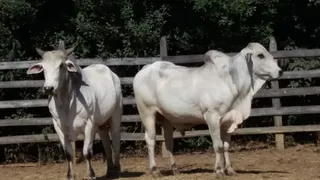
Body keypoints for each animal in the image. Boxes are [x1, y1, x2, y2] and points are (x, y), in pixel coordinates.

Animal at [26, 43, 122, 179]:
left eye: (61, 65)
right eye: (43, 67)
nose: (48, 88)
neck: (66, 103)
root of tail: (111, 73)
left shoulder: (89, 125)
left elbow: (87, 152)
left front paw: (91, 174)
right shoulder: (59, 128)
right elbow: (68, 154)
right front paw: (70, 175)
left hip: (116, 115)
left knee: (115, 139)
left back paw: (117, 169)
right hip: (101, 123)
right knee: (106, 142)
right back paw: (110, 170)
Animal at [132, 42, 282, 177]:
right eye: (260, 55)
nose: (280, 71)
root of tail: (146, 68)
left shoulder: (227, 120)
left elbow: (226, 146)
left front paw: (230, 170)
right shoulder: (212, 117)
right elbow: (218, 145)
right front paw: (219, 171)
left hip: (166, 118)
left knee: (168, 141)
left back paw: (175, 169)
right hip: (147, 113)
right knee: (150, 140)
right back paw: (154, 170)